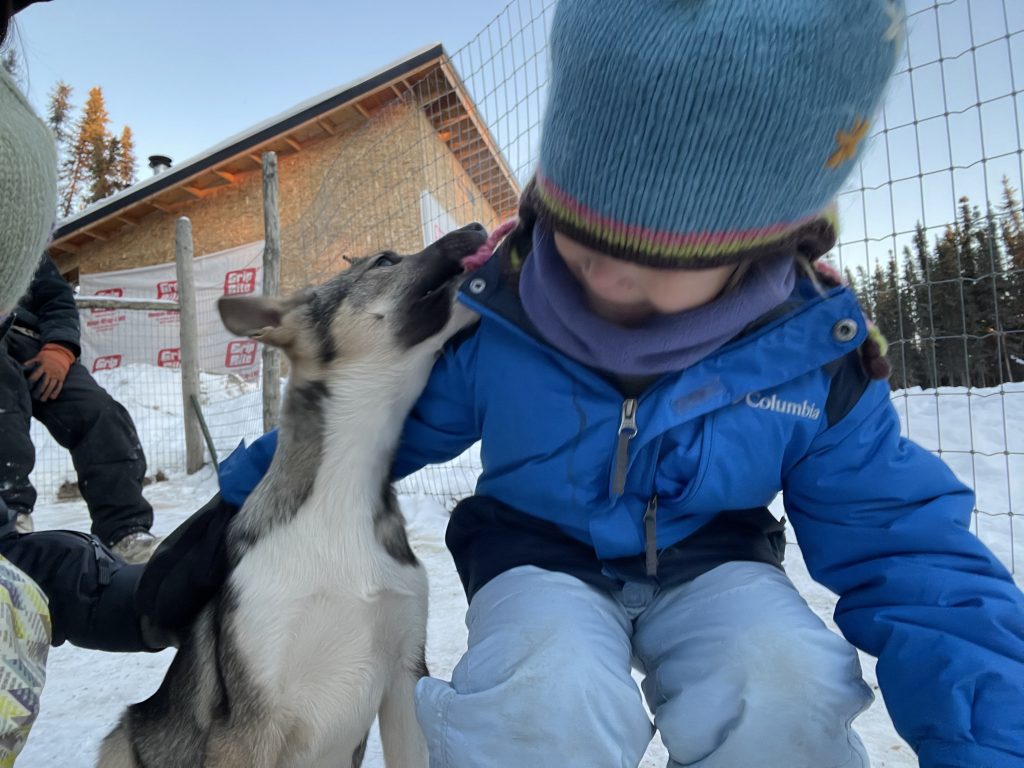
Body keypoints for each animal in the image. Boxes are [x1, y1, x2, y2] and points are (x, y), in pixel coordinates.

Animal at [97, 224, 489, 768]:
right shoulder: (250, 722)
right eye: (385, 261)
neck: (340, 495)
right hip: (119, 739)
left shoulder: (405, 679)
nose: (476, 228)